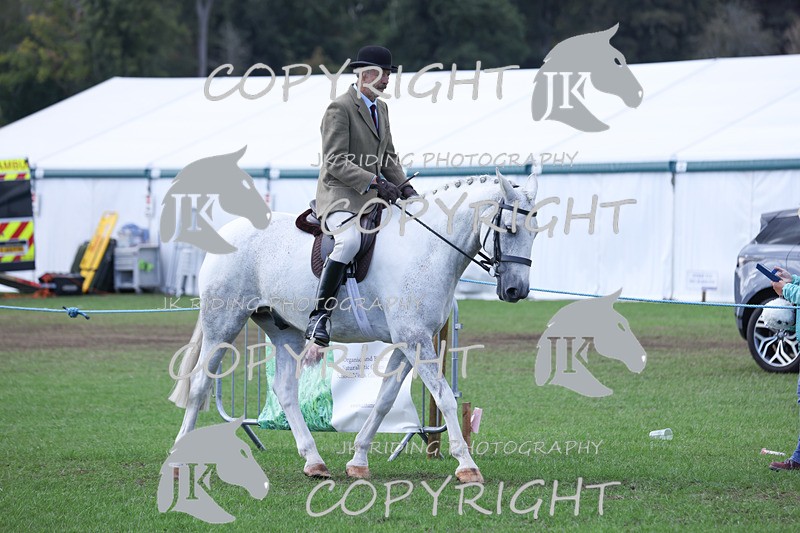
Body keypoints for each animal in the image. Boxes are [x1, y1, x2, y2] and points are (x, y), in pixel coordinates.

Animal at [168, 170, 539, 483]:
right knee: (200, 385)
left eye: (535, 231)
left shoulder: (409, 342)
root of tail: (229, 231)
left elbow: (385, 400)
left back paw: (314, 461)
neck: (426, 248)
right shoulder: (415, 339)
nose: (516, 291)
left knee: (285, 389)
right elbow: (445, 397)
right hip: (224, 323)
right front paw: (467, 465)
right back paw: (177, 460)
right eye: (509, 228)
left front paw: (358, 461)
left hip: (284, 329)